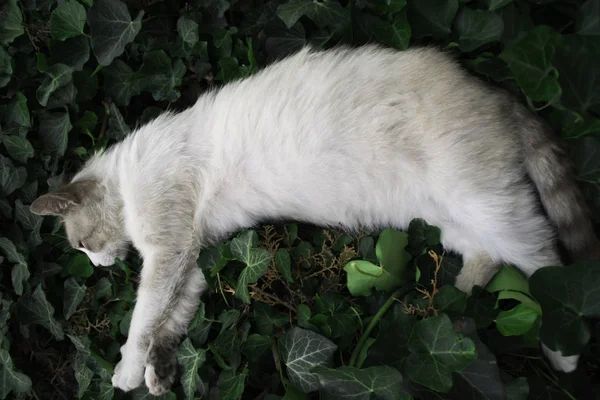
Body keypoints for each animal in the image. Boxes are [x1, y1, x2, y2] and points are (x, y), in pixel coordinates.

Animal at [31, 45, 596, 396]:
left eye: (80, 245)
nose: (97, 266)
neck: (128, 178)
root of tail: (497, 93)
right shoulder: (189, 261)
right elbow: (170, 321)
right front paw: (161, 374)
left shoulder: (166, 251)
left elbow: (142, 319)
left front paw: (127, 371)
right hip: (450, 218)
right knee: (487, 258)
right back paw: (452, 310)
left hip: (485, 204)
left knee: (545, 259)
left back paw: (562, 353)